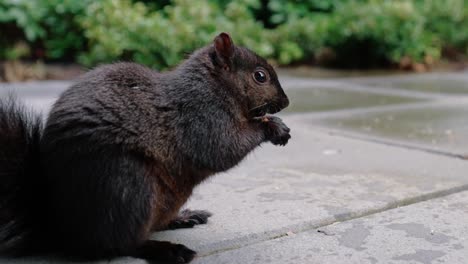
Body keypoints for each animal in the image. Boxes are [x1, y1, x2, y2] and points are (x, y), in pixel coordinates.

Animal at [0, 33, 290, 264]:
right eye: (260, 76)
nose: (285, 102)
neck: (215, 86)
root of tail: (58, 226)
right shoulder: (201, 117)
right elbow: (222, 149)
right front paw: (271, 127)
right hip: (128, 185)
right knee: (119, 244)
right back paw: (167, 250)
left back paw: (183, 217)